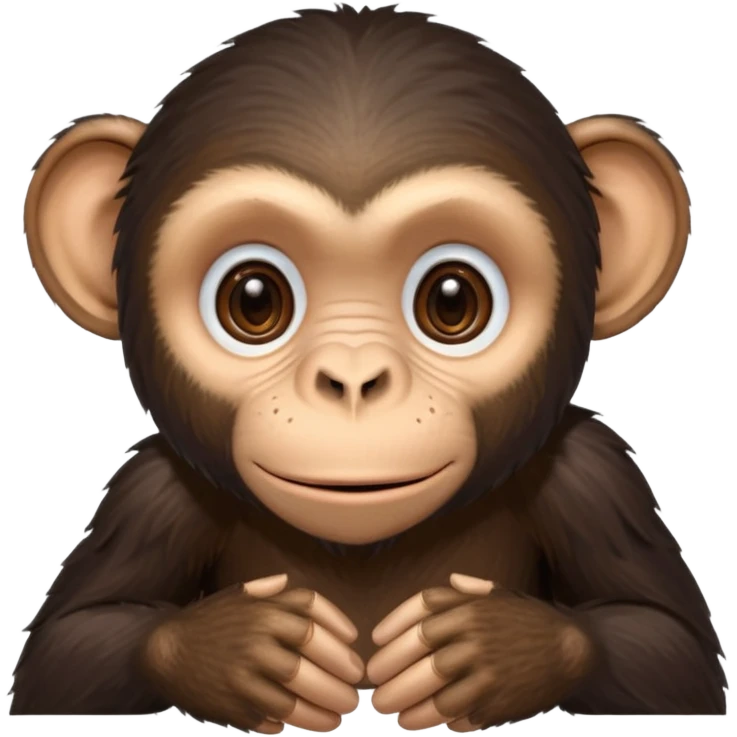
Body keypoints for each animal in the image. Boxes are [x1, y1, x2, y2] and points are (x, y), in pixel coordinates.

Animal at [10, 2, 726, 734]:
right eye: (253, 299)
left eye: (452, 299)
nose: (352, 380)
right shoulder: (152, 493)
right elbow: (69, 652)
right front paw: (244, 649)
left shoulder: (593, 476)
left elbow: (670, 650)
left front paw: (490, 648)